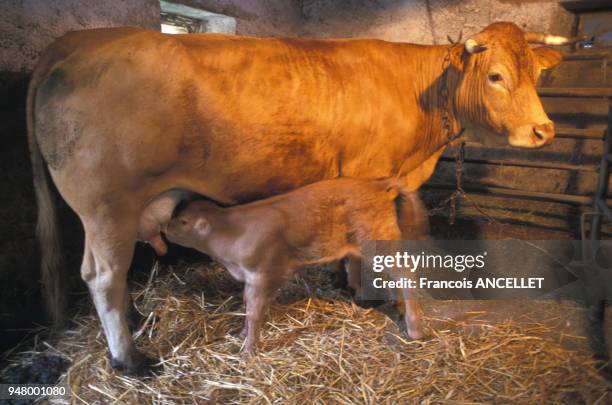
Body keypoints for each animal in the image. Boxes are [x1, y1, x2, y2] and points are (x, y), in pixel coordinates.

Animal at [27, 20, 564, 370]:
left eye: (537, 75)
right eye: (495, 76)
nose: (543, 131)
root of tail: (79, 42)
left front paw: (345, 283)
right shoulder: (369, 175)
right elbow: (366, 251)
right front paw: (366, 295)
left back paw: (137, 318)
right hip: (107, 206)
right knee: (103, 275)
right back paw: (130, 358)